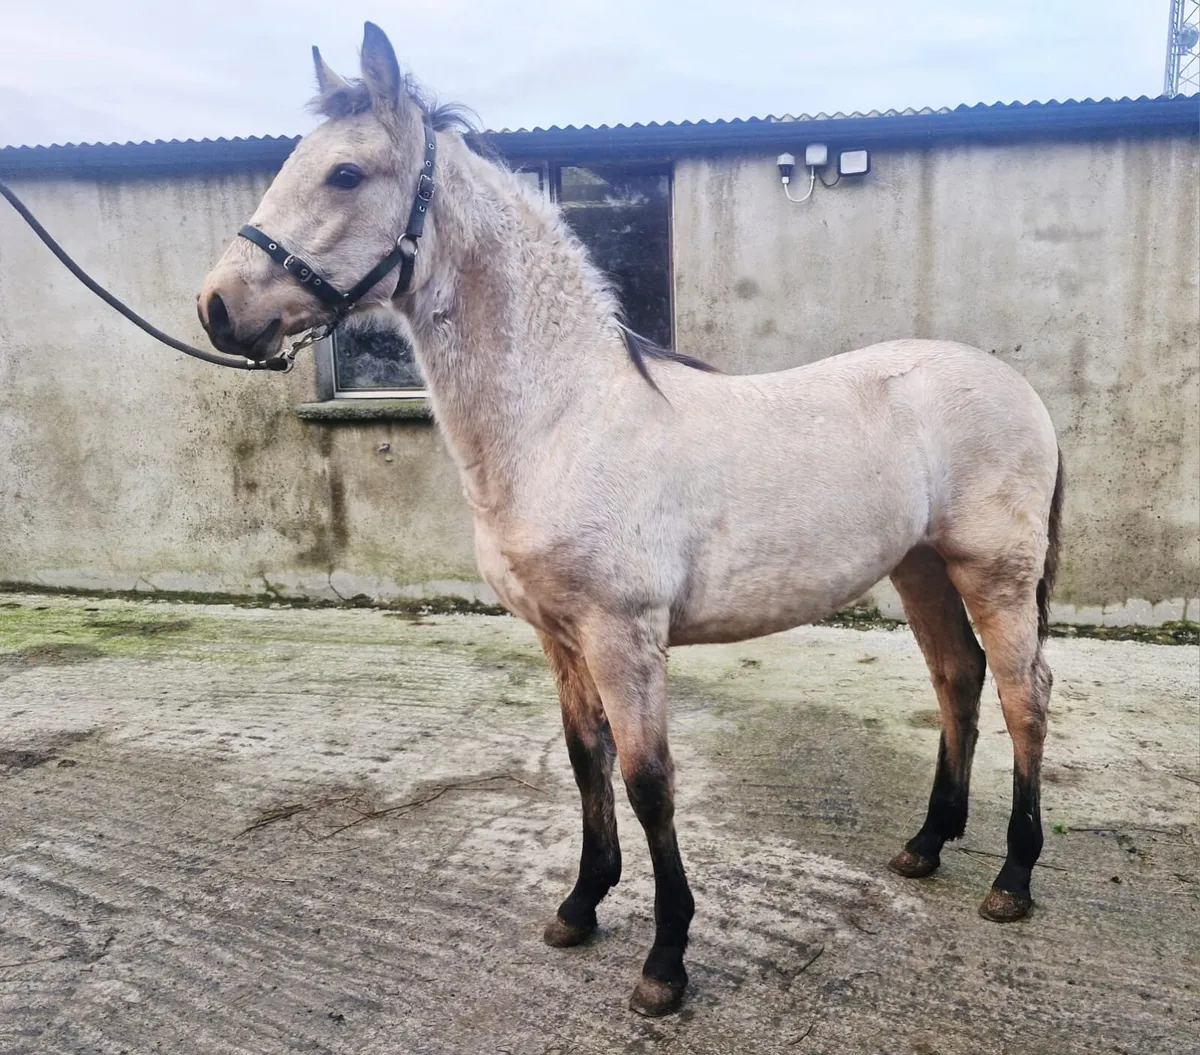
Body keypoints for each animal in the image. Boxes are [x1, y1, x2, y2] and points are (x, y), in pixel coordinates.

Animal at [198, 23, 1064, 1017]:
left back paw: (1012, 879)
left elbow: (651, 782)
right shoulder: (559, 634)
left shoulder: (624, 634)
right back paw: (925, 845)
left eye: (345, 173)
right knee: (958, 681)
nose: (218, 307)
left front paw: (665, 961)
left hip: (995, 571)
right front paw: (579, 905)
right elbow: (587, 760)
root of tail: (1020, 391)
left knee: (1023, 695)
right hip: (919, 565)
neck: (565, 417)